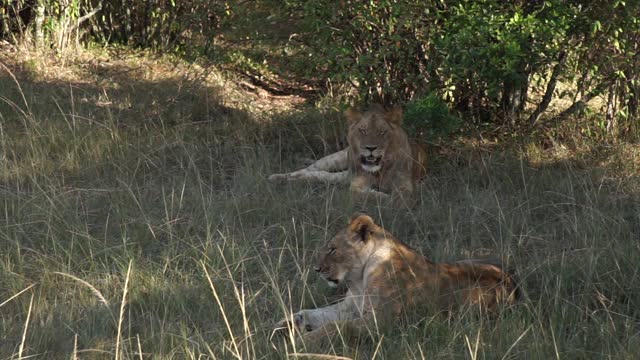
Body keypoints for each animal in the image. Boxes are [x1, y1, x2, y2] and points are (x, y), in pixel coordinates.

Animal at [268, 104, 428, 200]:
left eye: (381, 132)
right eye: (363, 130)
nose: (370, 148)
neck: (380, 170)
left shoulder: (405, 184)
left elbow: (400, 196)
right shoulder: (357, 183)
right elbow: (369, 195)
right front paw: (383, 195)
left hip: (342, 176)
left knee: (318, 175)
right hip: (335, 161)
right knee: (308, 170)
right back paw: (278, 177)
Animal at [274, 214, 520, 346]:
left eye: (333, 249)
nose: (316, 269)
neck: (359, 279)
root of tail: (514, 287)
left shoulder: (383, 320)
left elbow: (337, 326)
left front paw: (302, 342)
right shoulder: (349, 307)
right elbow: (315, 313)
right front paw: (285, 325)